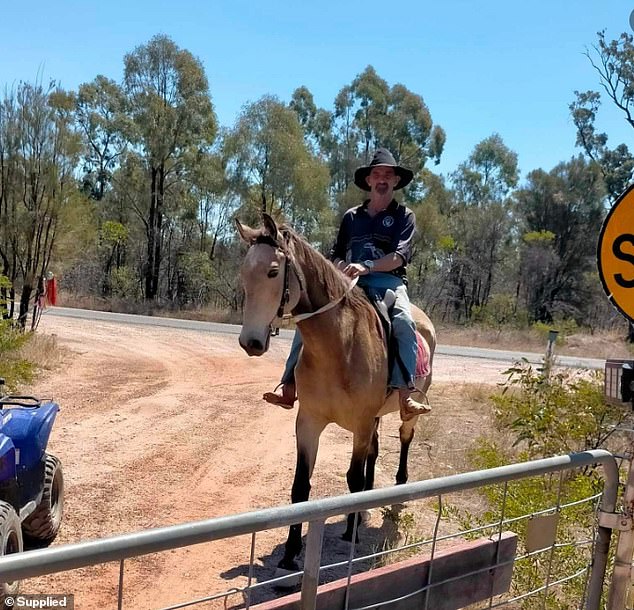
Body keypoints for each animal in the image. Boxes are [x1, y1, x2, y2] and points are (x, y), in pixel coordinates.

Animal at [233, 214, 434, 568]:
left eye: (273, 271)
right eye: (245, 272)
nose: (251, 342)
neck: (340, 346)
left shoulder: (361, 423)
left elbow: (352, 479)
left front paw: (351, 532)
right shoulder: (309, 422)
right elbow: (301, 487)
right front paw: (290, 554)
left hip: (405, 413)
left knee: (404, 438)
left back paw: (397, 489)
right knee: (374, 454)